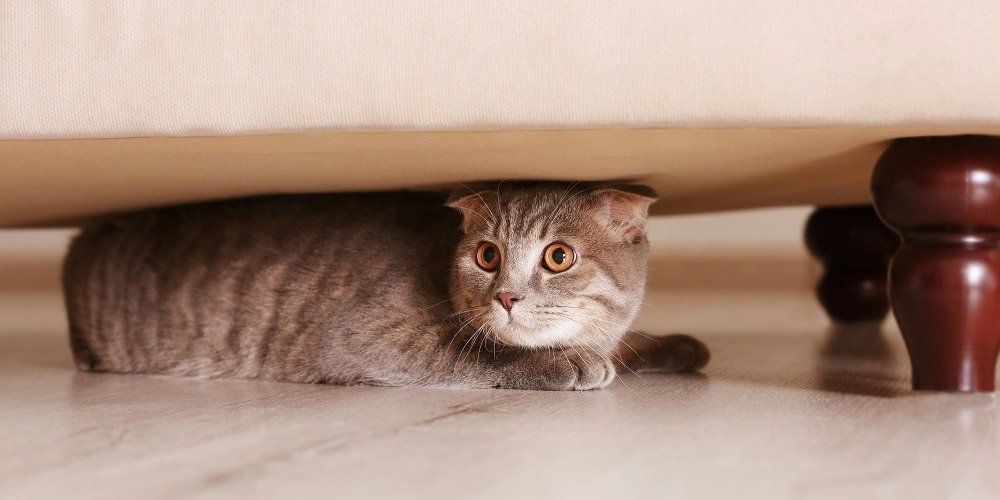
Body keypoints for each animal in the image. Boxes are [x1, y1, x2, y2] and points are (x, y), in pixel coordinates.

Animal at [62, 182, 708, 388]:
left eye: (559, 256)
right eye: (487, 255)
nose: (505, 295)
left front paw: (672, 345)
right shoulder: (370, 338)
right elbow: (476, 354)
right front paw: (566, 362)